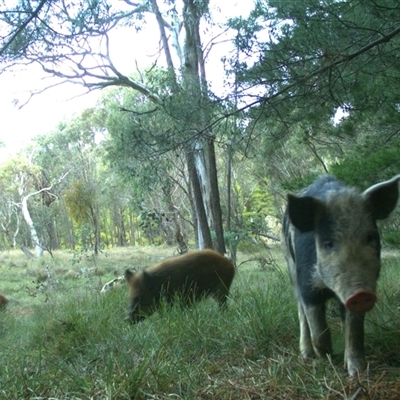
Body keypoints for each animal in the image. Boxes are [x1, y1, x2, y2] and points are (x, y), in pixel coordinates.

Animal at [282, 174, 400, 376]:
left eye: (370, 237)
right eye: (328, 243)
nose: (360, 293)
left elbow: (354, 330)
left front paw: (356, 372)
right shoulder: (308, 287)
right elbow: (318, 329)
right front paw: (326, 357)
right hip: (291, 269)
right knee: (301, 314)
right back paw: (307, 356)